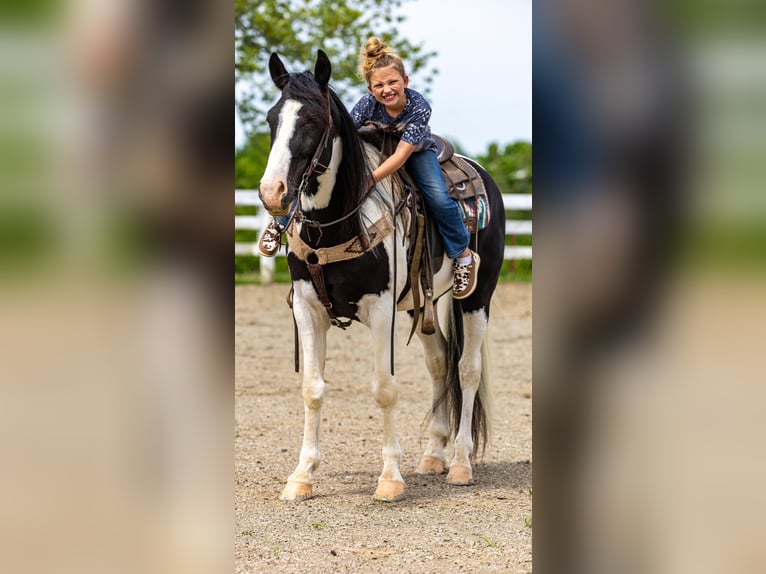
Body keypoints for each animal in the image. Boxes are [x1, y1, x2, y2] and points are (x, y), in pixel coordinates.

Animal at [260, 49, 508, 502]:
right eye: (273, 119)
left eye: (312, 121)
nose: (272, 193)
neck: (339, 224)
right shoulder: (307, 307)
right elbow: (312, 389)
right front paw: (301, 476)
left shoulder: (381, 310)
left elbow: (384, 389)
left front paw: (390, 478)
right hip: (422, 305)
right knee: (440, 364)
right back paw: (433, 456)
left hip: (477, 299)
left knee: (468, 369)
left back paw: (460, 463)